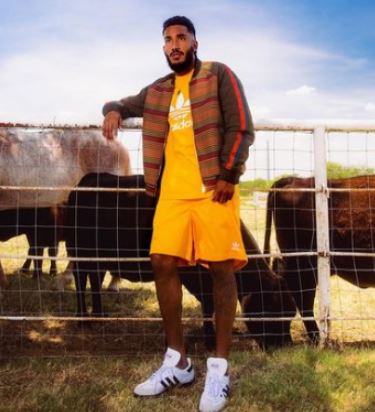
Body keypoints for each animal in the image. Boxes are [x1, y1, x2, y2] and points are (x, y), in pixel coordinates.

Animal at [65, 173, 296, 348]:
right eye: (275, 308)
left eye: (291, 312)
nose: (284, 345)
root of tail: (87, 180)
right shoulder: (193, 276)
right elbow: (207, 304)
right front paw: (208, 340)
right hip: (79, 251)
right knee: (80, 280)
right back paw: (83, 320)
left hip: (97, 256)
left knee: (95, 278)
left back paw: (99, 314)